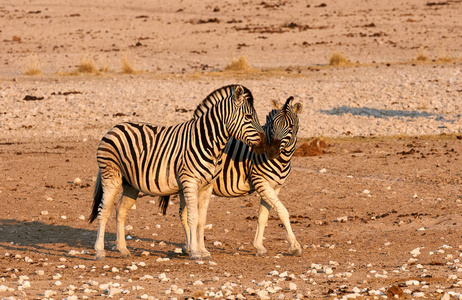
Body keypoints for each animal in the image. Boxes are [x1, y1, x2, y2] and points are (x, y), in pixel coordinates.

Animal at [88, 84, 268, 260]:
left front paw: (203, 250)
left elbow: (202, 219)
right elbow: (192, 217)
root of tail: (113, 128)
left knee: (120, 211)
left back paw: (123, 249)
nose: (265, 144)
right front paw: (194, 252)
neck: (207, 142)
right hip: (111, 177)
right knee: (103, 211)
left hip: (130, 184)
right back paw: (100, 252)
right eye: (248, 117)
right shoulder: (190, 182)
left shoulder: (207, 186)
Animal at [160, 96, 304, 255]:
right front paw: (294, 245)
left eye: (291, 126)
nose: (271, 152)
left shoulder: (275, 186)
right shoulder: (260, 181)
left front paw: (259, 246)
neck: (283, 160)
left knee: (183, 213)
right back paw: (191, 248)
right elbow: (283, 211)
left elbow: (263, 216)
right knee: (184, 214)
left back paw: (188, 247)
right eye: (273, 125)